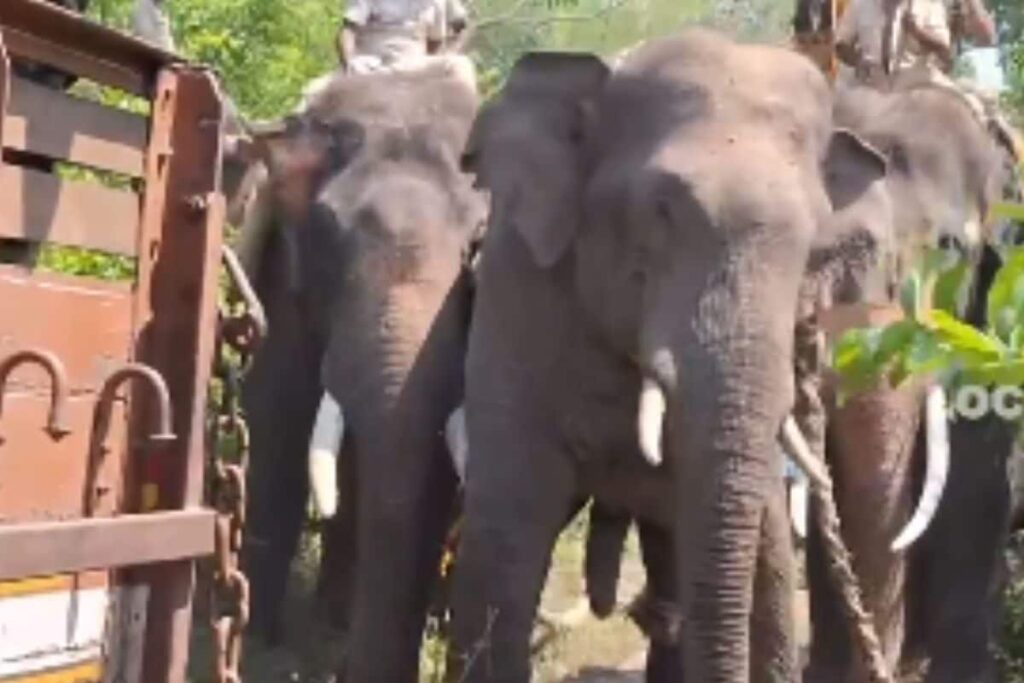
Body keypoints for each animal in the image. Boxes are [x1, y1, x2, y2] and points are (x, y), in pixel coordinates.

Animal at [235, 63, 487, 679]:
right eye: (327, 230)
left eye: (477, 242)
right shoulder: (283, 267)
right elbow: (279, 413)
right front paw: (259, 648)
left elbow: (434, 469)